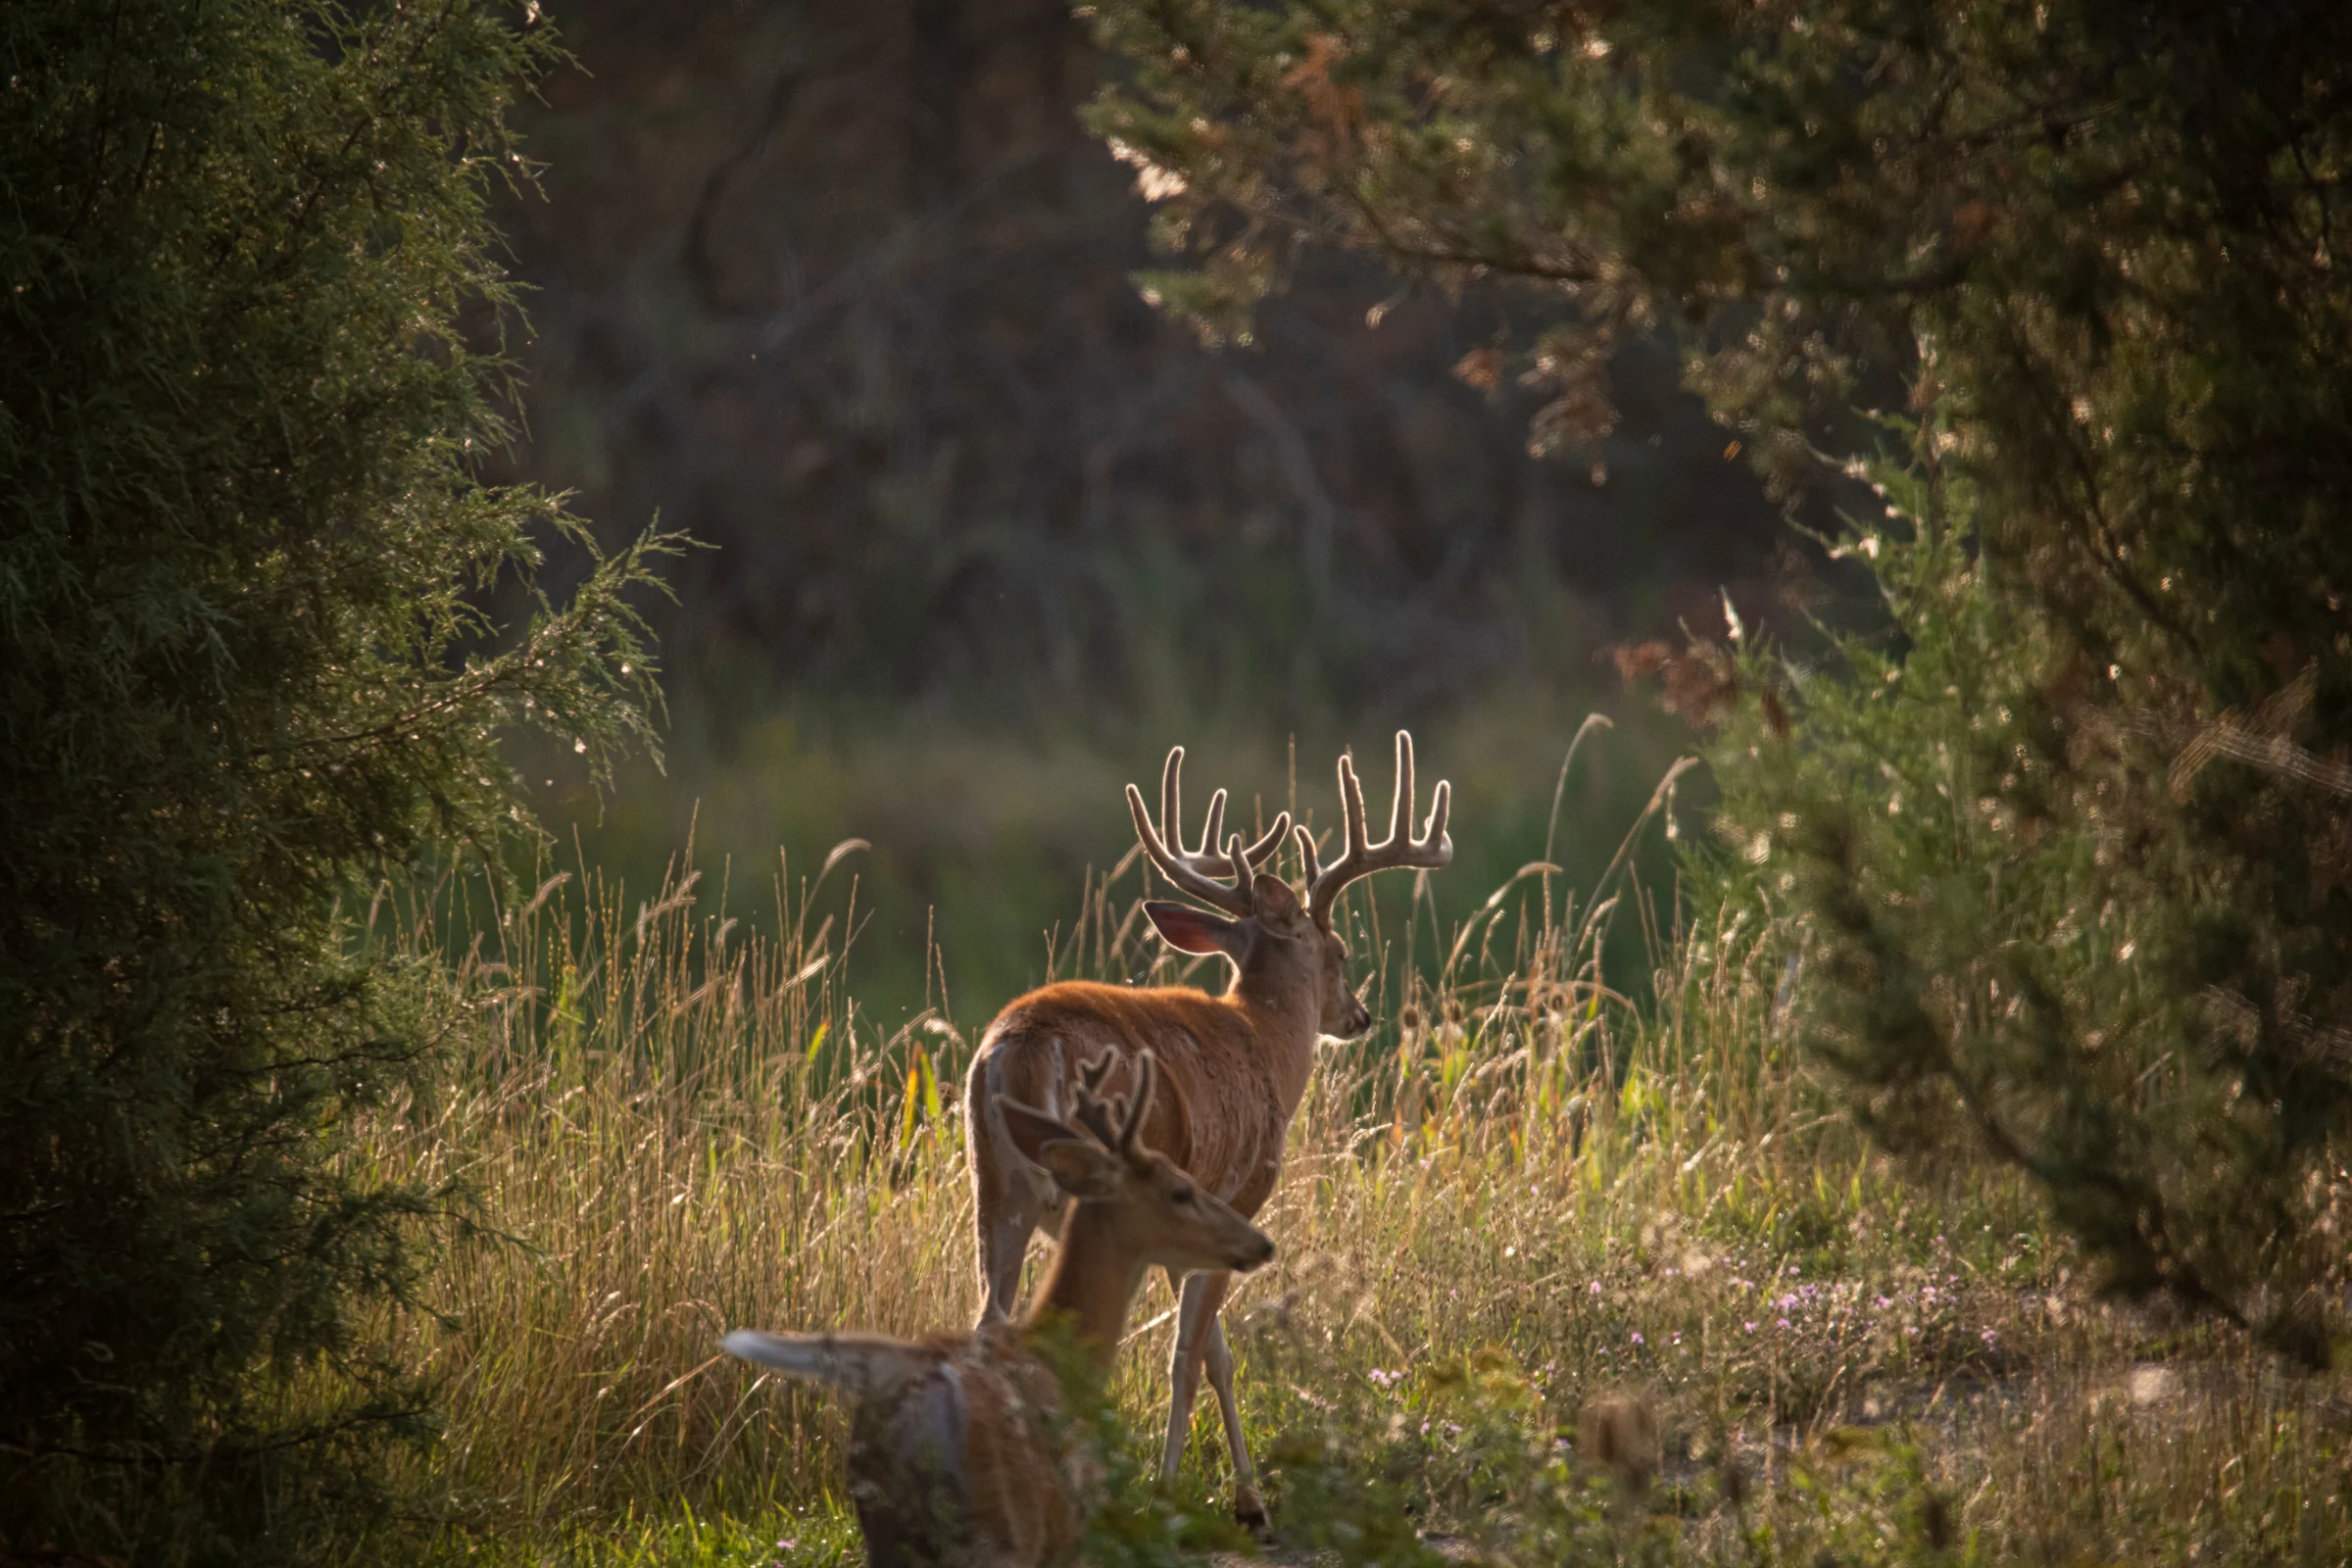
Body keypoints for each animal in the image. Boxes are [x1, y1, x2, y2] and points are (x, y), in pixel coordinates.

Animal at [724, 1053, 1270, 1568]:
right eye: (1181, 1189)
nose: (1260, 1242)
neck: (1062, 1354)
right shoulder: (1076, 1530)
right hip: (1001, 1523)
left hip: (888, 1529)